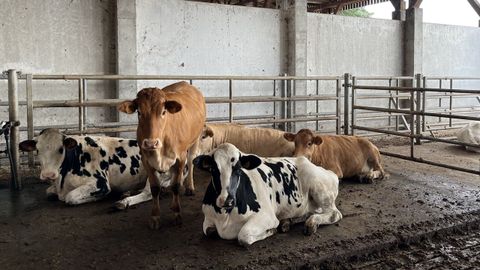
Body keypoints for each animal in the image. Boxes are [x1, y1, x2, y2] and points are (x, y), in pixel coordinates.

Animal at [19, 129, 179, 209]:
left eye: (61, 149)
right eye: (37, 150)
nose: (48, 174)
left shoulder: (100, 183)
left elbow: (70, 198)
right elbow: (49, 192)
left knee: (149, 193)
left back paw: (124, 202)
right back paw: (127, 192)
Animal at [119, 81, 205, 228]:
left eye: (163, 112)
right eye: (139, 112)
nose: (150, 143)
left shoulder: (180, 158)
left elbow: (175, 186)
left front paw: (177, 213)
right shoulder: (146, 160)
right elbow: (154, 188)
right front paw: (155, 217)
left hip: (195, 140)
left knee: (191, 160)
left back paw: (189, 187)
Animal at [193, 143, 344, 247]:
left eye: (238, 169)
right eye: (213, 169)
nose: (226, 200)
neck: (226, 215)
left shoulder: (267, 216)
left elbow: (243, 236)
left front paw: (271, 231)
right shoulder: (208, 218)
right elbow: (210, 231)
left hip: (319, 188)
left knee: (334, 213)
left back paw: (312, 223)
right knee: (310, 211)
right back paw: (287, 222)